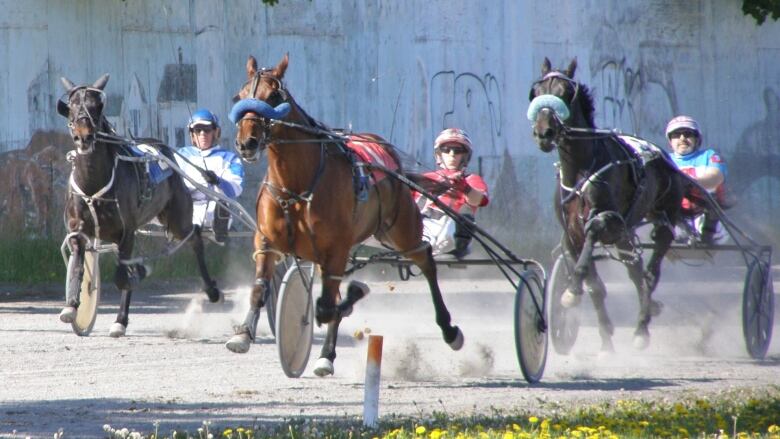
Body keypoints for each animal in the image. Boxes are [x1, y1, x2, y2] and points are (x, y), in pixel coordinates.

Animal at [55, 75, 222, 336]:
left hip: (177, 217)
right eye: (72, 107)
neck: (94, 184)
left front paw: (136, 278)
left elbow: (123, 277)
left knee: (194, 237)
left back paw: (211, 290)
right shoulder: (78, 230)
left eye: (97, 106)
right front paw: (72, 306)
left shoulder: (126, 232)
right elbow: (78, 266)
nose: (84, 136)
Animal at [222, 54, 460, 378]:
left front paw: (354, 294)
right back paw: (326, 354)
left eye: (272, 96)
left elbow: (326, 306)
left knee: (425, 259)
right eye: (240, 96)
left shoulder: (335, 249)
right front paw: (243, 335)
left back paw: (449, 329)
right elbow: (260, 289)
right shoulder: (266, 241)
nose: (246, 142)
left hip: (399, 228)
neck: (297, 185)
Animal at [528, 58, 684, 352]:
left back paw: (642, 328)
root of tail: (660, 155)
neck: (580, 170)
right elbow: (595, 287)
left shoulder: (607, 219)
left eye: (565, 92)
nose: (544, 132)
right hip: (624, 235)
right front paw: (605, 343)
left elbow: (593, 232)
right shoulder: (570, 234)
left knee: (651, 267)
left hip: (660, 216)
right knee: (635, 270)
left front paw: (572, 290)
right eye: (537, 91)